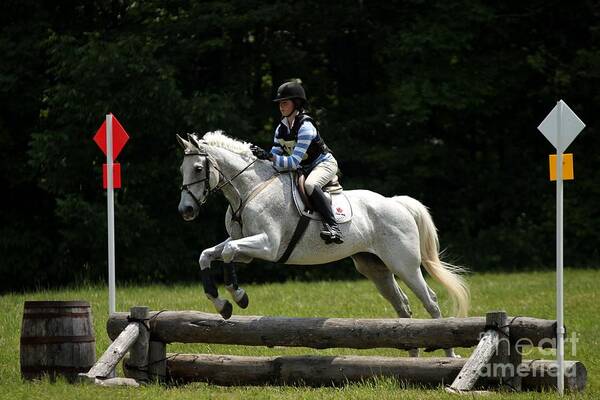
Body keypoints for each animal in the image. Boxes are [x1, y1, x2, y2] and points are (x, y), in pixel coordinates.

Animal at [176, 133, 472, 358]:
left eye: (199, 169)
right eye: (182, 170)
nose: (186, 211)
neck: (249, 190)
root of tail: (396, 202)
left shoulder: (267, 245)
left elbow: (226, 253)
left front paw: (239, 297)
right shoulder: (244, 248)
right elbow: (207, 255)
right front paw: (222, 305)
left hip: (404, 265)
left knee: (430, 301)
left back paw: (449, 354)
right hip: (375, 269)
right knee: (403, 307)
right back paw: (412, 356)